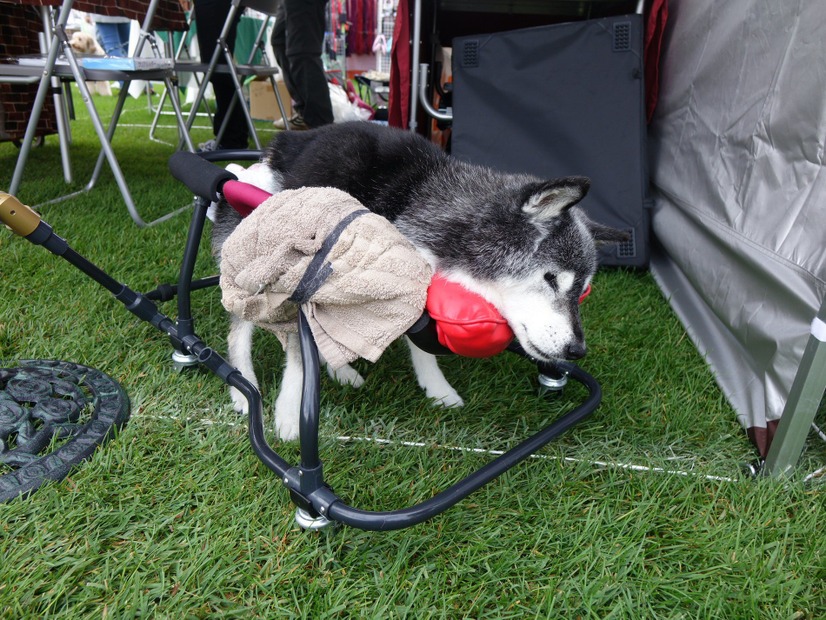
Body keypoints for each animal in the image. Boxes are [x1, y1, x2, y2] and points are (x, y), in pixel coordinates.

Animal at [212, 122, 624, 440]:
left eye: (582, 291)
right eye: (551, 278)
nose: (577, 351)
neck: (417, 202)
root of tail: (287, 140)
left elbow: (418, 344)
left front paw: (436, 388)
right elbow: (300, 353)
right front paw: (287, 412)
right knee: (238, 331)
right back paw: (243, 388)